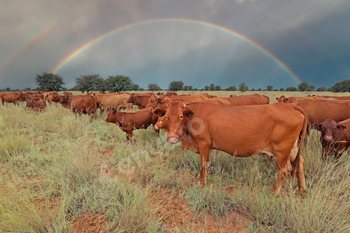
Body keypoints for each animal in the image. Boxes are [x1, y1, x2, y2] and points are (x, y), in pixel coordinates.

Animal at [152, 102, 306, 195]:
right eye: (166, 116)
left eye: (180, 116)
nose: (172, 138)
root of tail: (289, 106)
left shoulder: (204, 143)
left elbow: (204, 164)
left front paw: (203, 183)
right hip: (292, 149)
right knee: (300, 163)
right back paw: (301, 188)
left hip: (281, 151)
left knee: (284, 170)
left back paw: (273, 192)